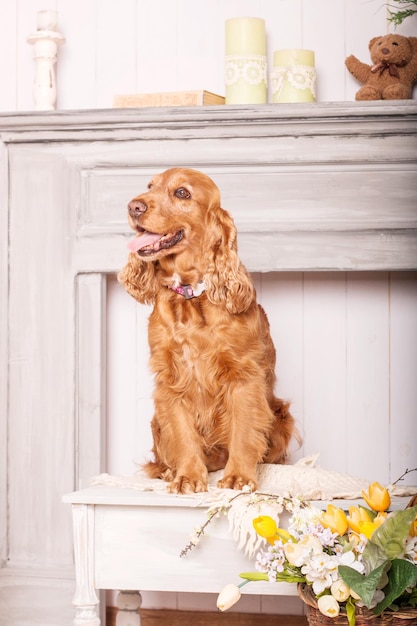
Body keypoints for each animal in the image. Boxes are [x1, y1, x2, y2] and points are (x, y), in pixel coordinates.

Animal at [118, 166, 296, 492]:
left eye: (182, 193)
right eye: (149, 186)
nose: (133, 206)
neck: (191, 296)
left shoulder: (243, 375)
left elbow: (243, 430)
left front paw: (239, 477)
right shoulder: (171, 378)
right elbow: (183, 432)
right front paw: (187, 476)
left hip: (281, 414)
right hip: (156, 420)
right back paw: (169, 471)